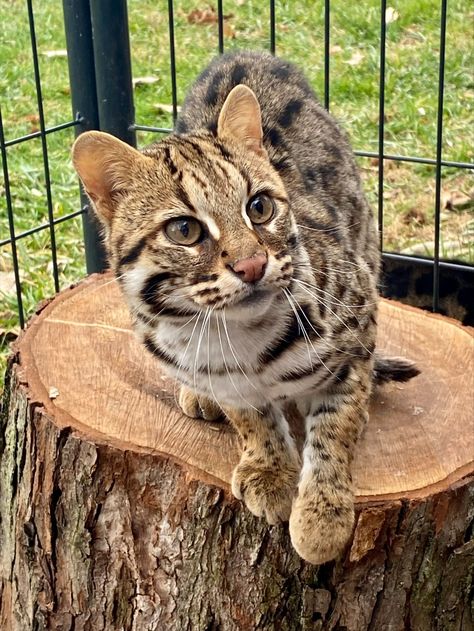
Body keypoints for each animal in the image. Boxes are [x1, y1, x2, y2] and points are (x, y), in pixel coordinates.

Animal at [72, 50, 416, 564]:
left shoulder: (358, 322)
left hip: (366, 237)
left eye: (259, 207)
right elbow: (251, 418)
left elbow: (338, 424)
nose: (253, 265)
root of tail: (248, 53)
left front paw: (323, 514)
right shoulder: (218, 374)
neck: (237, 332)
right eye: (184, 230)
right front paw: (270, 469)